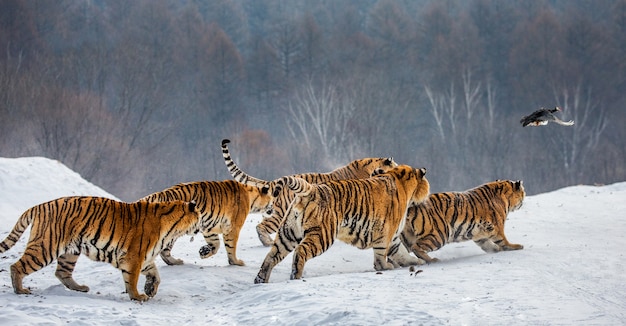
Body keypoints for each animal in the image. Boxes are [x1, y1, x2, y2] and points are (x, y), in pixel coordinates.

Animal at [0, 196, 200, 300]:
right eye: (198, 215)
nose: (200, 226)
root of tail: (39, 206)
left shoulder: (145, 258)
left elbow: (156, 275)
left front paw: (151, 289)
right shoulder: (134, 257)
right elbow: (132, 279)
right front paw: (137, 296)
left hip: (70, 252)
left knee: (62, 272)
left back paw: (80, 288)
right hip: (45, 247)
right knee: (17, 266)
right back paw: (20, 290)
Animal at [139, 180, 270, 266]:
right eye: (272, 200)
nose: (272, 208)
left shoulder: (209, 228)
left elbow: (216, 244)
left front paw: (204, 252)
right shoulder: (233, 227)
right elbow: (231, 246)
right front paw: (235, 262)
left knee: (164, 252)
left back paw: (175, 262)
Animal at [254, 164, 428, 284]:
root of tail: (311, 189)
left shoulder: (393, 237)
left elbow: (401, 252)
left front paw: (417, 262)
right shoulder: (386, 233)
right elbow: (381, 256)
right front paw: (385, 267)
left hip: (288, 234)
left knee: (271, 256)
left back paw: (260, 280)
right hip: (322, 235)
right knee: (300, 251)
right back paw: (295, 275)